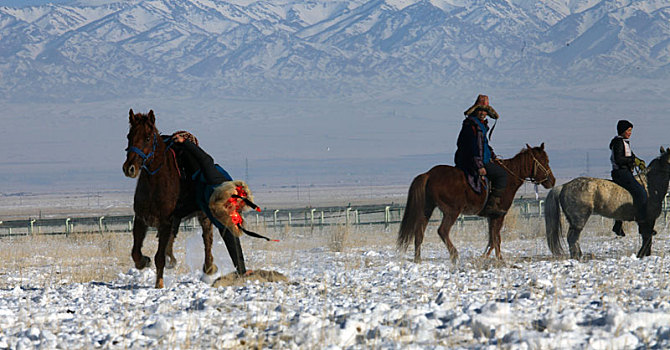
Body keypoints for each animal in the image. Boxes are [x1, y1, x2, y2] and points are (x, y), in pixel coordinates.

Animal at [122, 108, 245, 288]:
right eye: (129, 136)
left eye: (147, 137)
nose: (129, 168)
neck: (156, 183)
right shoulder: (141, 219)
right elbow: (135, 253)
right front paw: (145, 261)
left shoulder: (165, 222)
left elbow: (159, 257)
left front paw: (159, 284)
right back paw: (172, 259)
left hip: (203, 214)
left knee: (207, 238)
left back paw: (209, 268)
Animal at [400, 144, 556, 262]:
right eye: (544, 161)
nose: (552, 181)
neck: (509, 177)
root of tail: (429, 174)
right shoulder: (499, 215)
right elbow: (496, 238)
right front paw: (499, 258)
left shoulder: (491, 217)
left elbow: (492, 238)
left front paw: (489, 256)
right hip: (451, 212)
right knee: (442, 231)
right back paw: (454, 254)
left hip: (427, 209)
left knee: (419, 232)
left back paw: (417, 259)